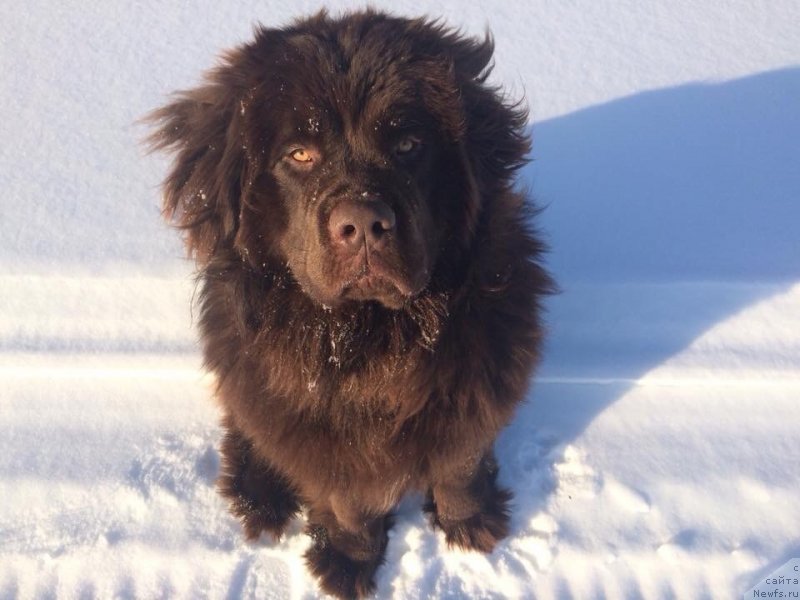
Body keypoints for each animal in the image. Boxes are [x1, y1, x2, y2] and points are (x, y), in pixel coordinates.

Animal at [147, 10, 552, 600]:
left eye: (408, 144)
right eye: (300, 154)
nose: (361, 223)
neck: (371, 338)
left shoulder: (472, 396)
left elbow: (460, 465)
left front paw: (470, 525)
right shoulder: (327, 447)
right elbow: (348, 504)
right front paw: (348, 564)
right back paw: (260, 495)